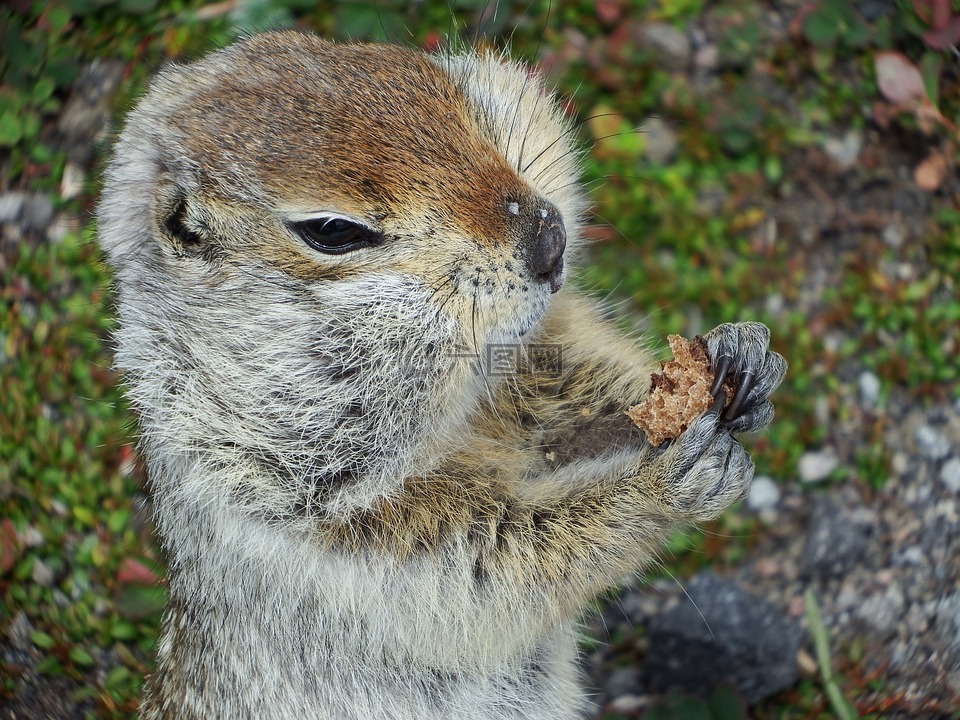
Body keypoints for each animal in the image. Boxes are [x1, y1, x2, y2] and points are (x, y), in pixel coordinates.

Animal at [97, 29, 788, 720]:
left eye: (460, 102)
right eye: (332, 231)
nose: (550, 239)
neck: (460, 413)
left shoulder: (528, 366)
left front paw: (737, 359)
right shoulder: (315, 527)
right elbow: (496, 564)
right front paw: (665, 481)